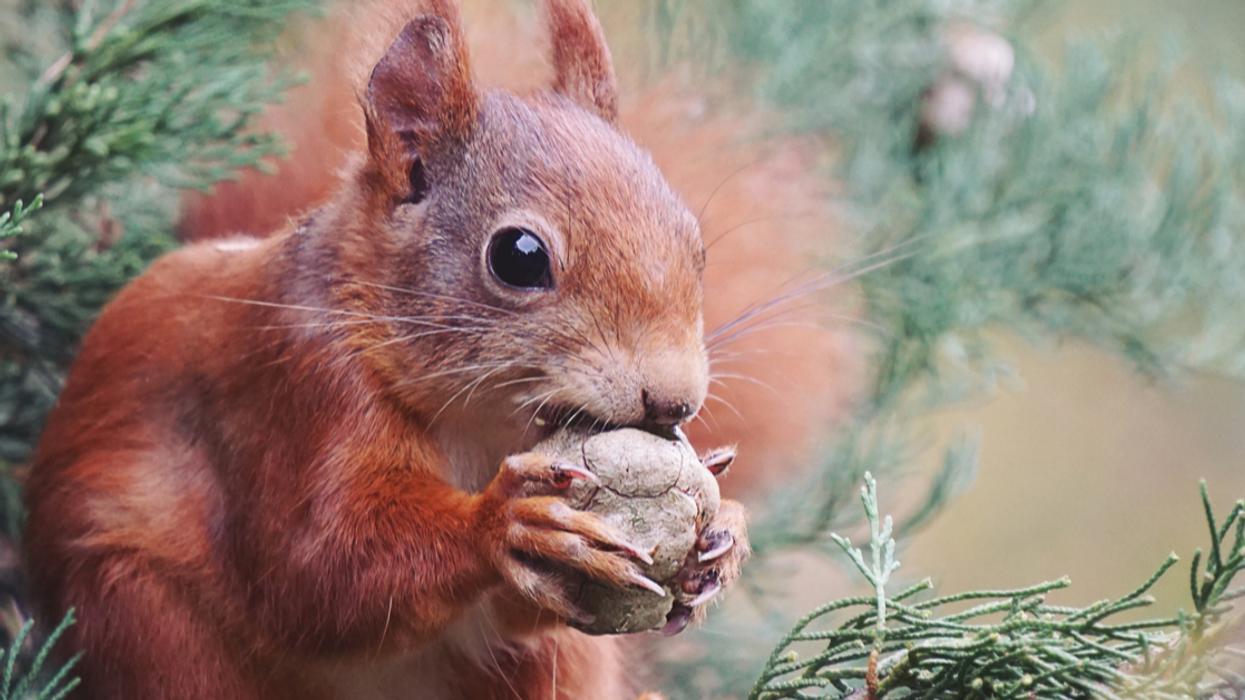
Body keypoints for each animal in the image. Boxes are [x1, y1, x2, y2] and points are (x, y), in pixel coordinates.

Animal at [24, 0, 754, 698]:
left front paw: (724, 534)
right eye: (518, 257)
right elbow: (314, 570)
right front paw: (504, 522)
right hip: (145, 619)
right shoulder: (295, 390)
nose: (673, 402)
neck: (482, 427)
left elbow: (514, 613)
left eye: (694, 244)